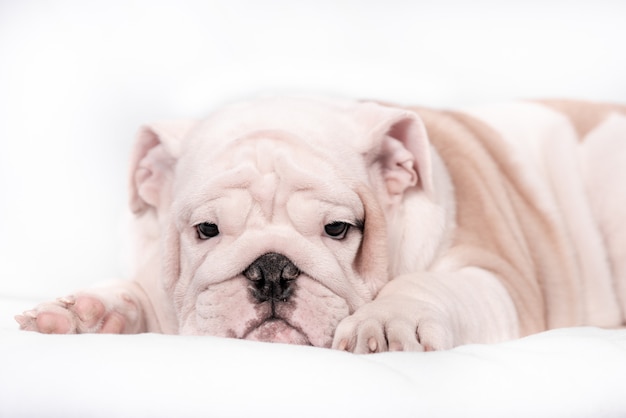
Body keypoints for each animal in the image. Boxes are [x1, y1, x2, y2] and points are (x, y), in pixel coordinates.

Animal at [15, 97, 624, 352]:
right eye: (205, 230)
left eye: (339, 230)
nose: (272, 270)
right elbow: (141, 293)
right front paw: (86, 311)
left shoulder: (495, 277)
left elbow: (430, 284)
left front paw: (389, 319)